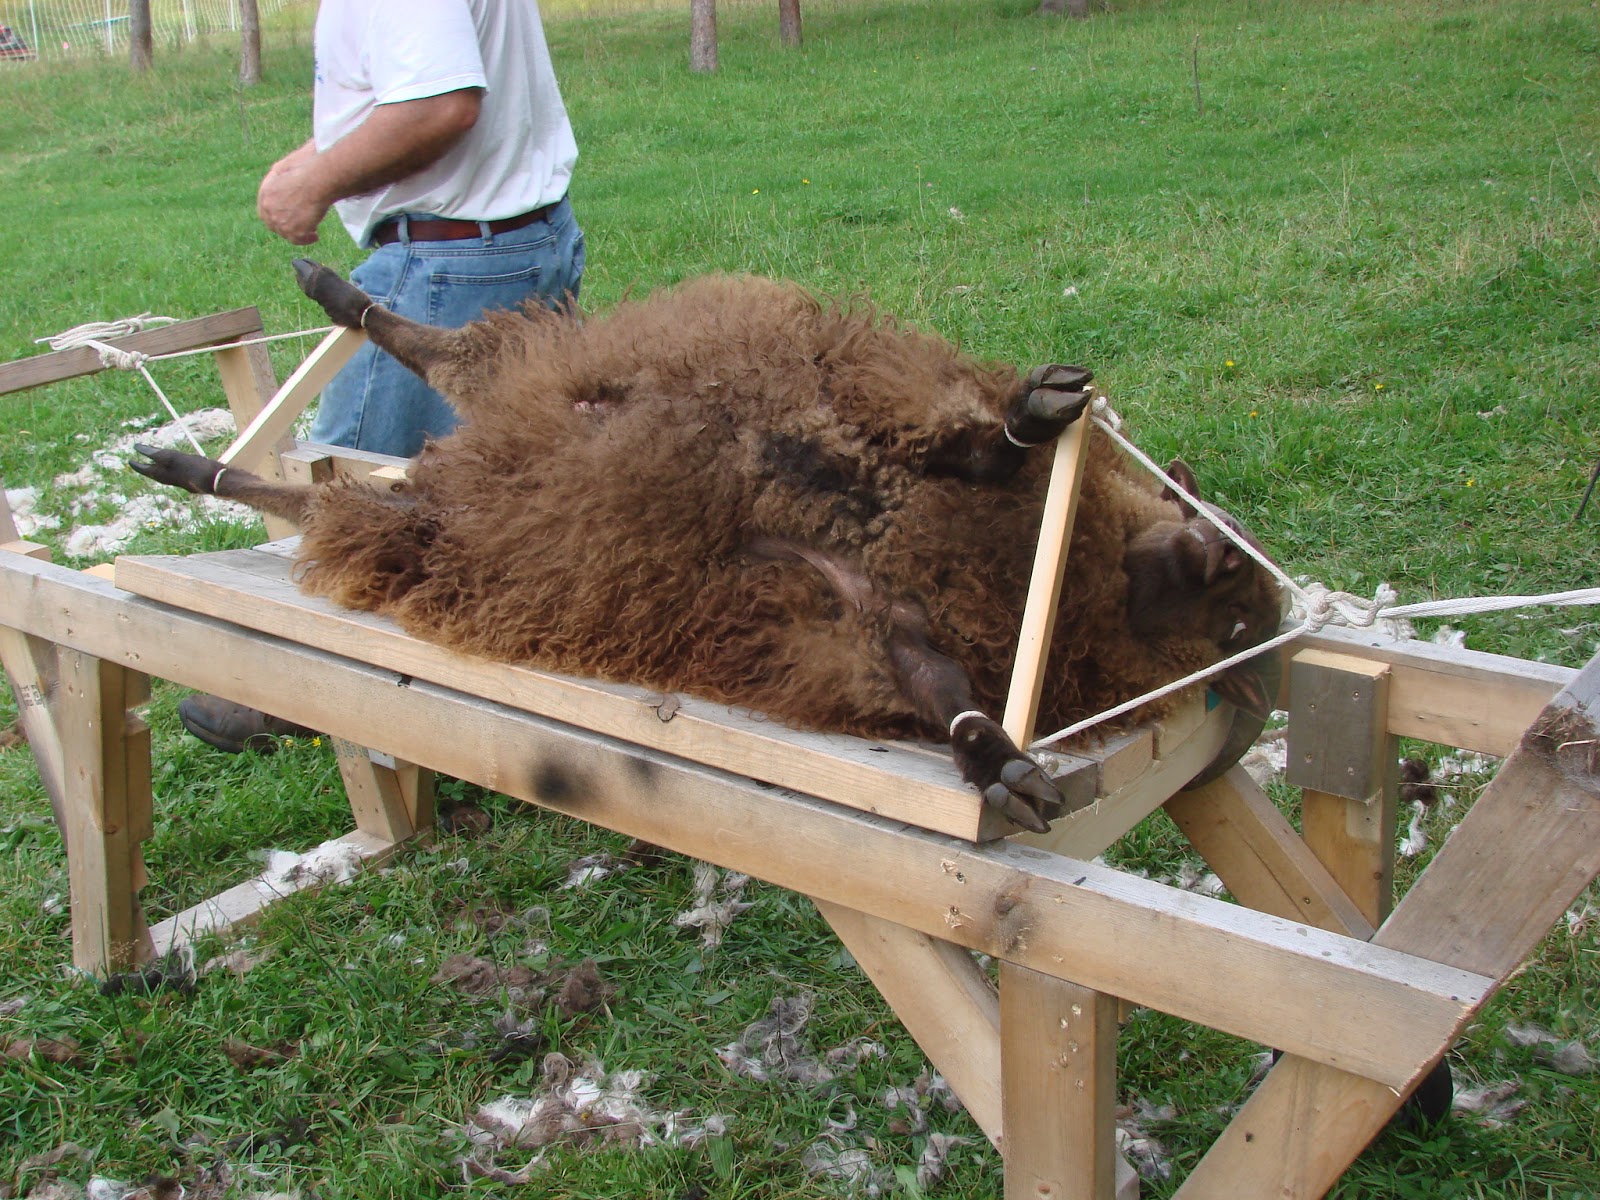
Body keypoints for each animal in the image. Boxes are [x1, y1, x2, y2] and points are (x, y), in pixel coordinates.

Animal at [131, 263, 1283, 833]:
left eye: (1241, 620)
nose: (1228, 563)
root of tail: (483, 444)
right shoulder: (898, 439)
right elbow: (978, 447)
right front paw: (1033, 412)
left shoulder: (871, 610)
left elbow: (936, 685)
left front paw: (996, 762)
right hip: (531, 410)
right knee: (428, 362)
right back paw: (292, 343)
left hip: (457, 523)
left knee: (336, 489)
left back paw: (201, 462)